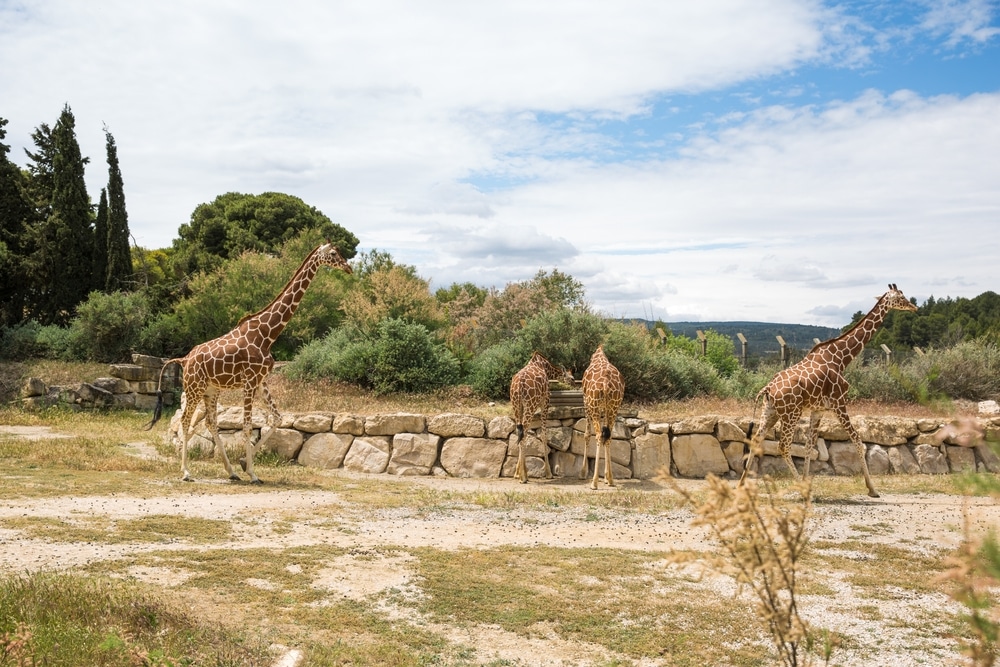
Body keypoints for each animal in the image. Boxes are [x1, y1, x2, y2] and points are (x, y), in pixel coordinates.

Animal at [146, 243, 352, 482]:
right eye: (333, 254)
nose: (348, 268)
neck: (267, 334)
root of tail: (185, 358)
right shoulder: (249, 381)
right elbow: (246, 427)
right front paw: (253, 473)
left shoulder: (261, 381)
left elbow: (277, 418)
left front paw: (244, 463)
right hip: (194, 388)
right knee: (186, 421)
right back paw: (187, 472)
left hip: (211, 390)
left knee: (211, 423)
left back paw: (232, 472)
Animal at [512, 352, 576, 482]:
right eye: (572, 378)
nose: (575, 384)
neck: (544, 366)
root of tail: (520, 384)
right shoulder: (545, 401)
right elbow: (544, 434)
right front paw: (548, 473)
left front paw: (517, 473)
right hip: (530, 405)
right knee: (524, 433)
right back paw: (524, 477)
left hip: (517, 406)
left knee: (520, 432)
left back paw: (521, 474)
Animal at [580, 344, 624, 490]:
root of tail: (605, 383)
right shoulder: (606, 408)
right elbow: (606, 434)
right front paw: (605, 476)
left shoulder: (586, 402)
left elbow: (587, 434)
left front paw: (582, 472)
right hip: (614, 407)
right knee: (608, 436)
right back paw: (610, 479)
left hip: (593, 406)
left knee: (599, 435)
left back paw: (594, 483)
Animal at [740, 284, 916, 498]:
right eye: (901, 297)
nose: (914, 307)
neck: (841, 358)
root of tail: (768, 388)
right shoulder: (839, 403)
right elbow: (857, 440)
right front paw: (872, 489)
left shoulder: (818, 410)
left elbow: (809, 446)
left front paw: (807, 482)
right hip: (791, 414)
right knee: (783, 446)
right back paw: (801, 491)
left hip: (770, 412)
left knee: (756, 440)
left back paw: (741, 485)